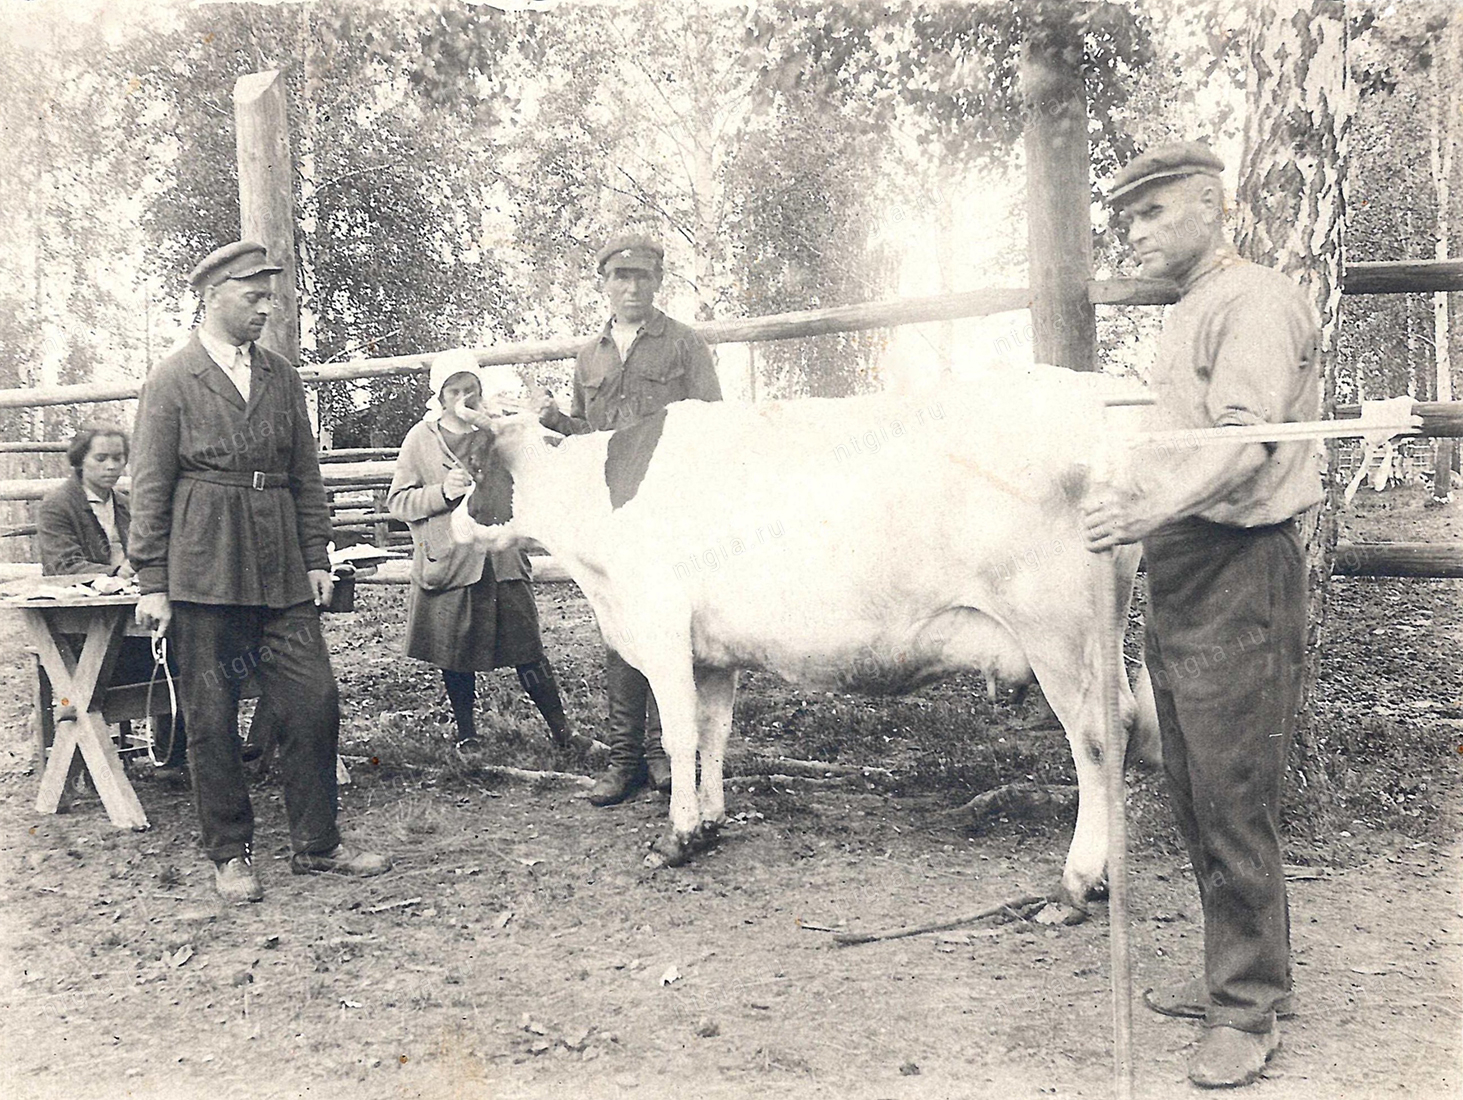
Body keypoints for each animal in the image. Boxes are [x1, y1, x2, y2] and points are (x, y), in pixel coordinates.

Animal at [459, 364, 1158, 909]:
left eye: (475, 464)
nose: (459, 519)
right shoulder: (713, 652)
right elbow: (714, 733)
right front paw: (709, 824)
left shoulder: (661, 628)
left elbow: (680, 735)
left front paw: (676, 838)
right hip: (1100, 630)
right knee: (1124, 719)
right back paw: (1106, 878)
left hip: (1054, 630)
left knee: (1095, 740)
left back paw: (1077, 880)